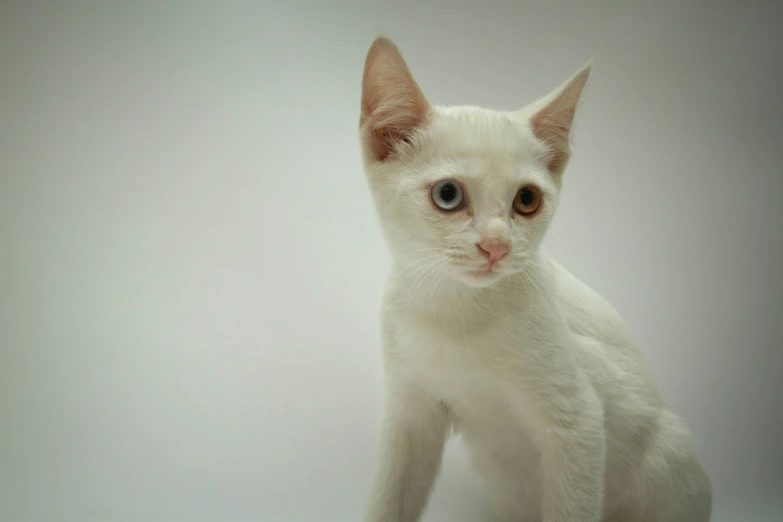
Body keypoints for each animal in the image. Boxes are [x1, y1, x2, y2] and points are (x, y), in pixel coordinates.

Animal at [358, 37, 712, 520]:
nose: (496, 246)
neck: (455, 313)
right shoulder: (410, 413)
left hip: (668, 453)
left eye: (527, 200)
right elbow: (390, 498)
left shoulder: (580, 424)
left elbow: (572, 505)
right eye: (448, 195)